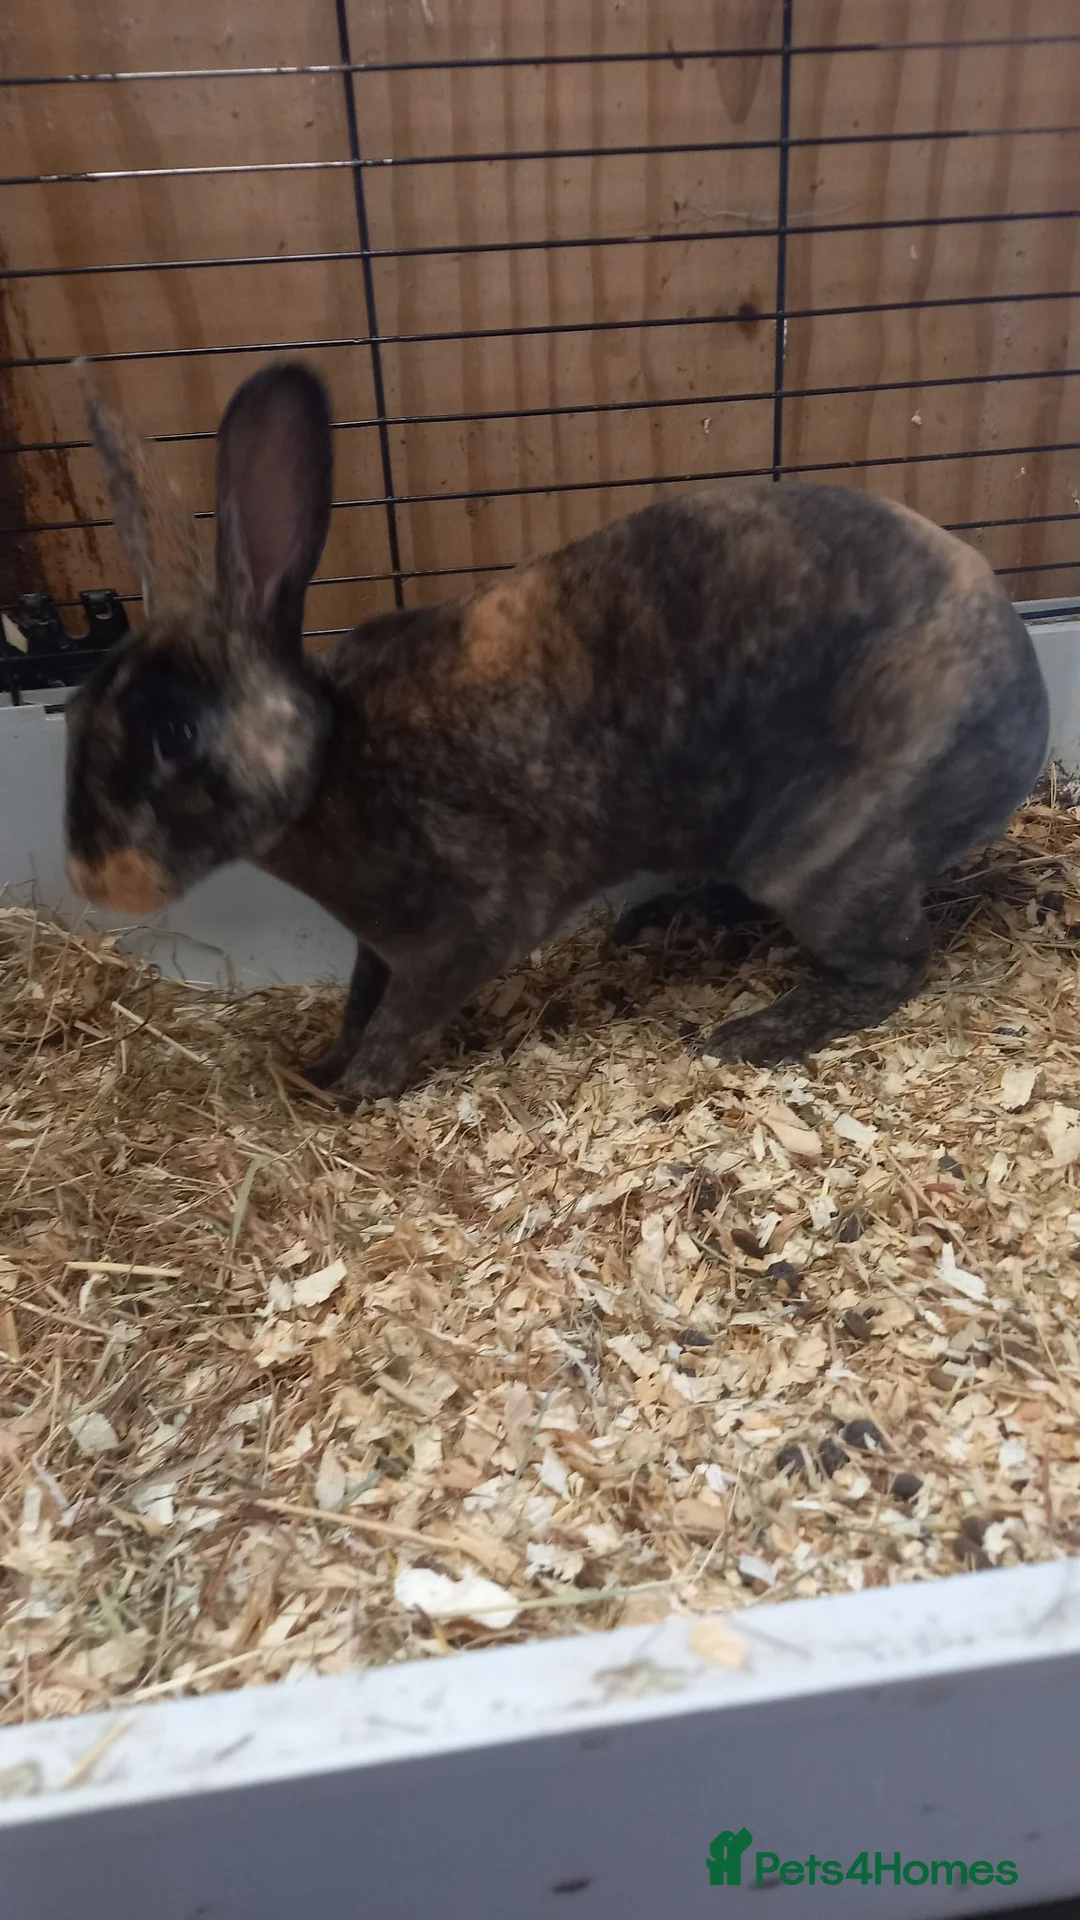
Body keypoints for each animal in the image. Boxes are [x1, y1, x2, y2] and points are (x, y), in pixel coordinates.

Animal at [65, 358, 1049, 1105]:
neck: (330, 759)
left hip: (825, 858)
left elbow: (398, 1024)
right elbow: (358, 1001)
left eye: (176, 733)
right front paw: (320, 1068)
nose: (90, 877)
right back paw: (665, 921)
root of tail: (1026, 711)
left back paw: (746, 1035)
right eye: (77, 712)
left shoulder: (463, 936)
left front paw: (350, 1094)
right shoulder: (380, 949)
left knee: (893, 966)